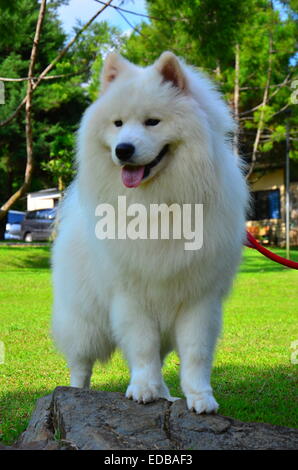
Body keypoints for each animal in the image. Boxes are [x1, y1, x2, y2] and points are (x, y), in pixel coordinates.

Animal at [51, 50, 249, 412]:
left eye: (152, 122)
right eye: (117, 124)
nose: (123, 149)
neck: (158, 203)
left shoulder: (200, 298)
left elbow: (196, 354)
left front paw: (199, 397)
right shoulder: (131, 296)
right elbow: (142, 347)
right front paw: (142, 388)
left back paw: (167, 394)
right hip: (84, 320)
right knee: (80, 363)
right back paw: (77, 391)